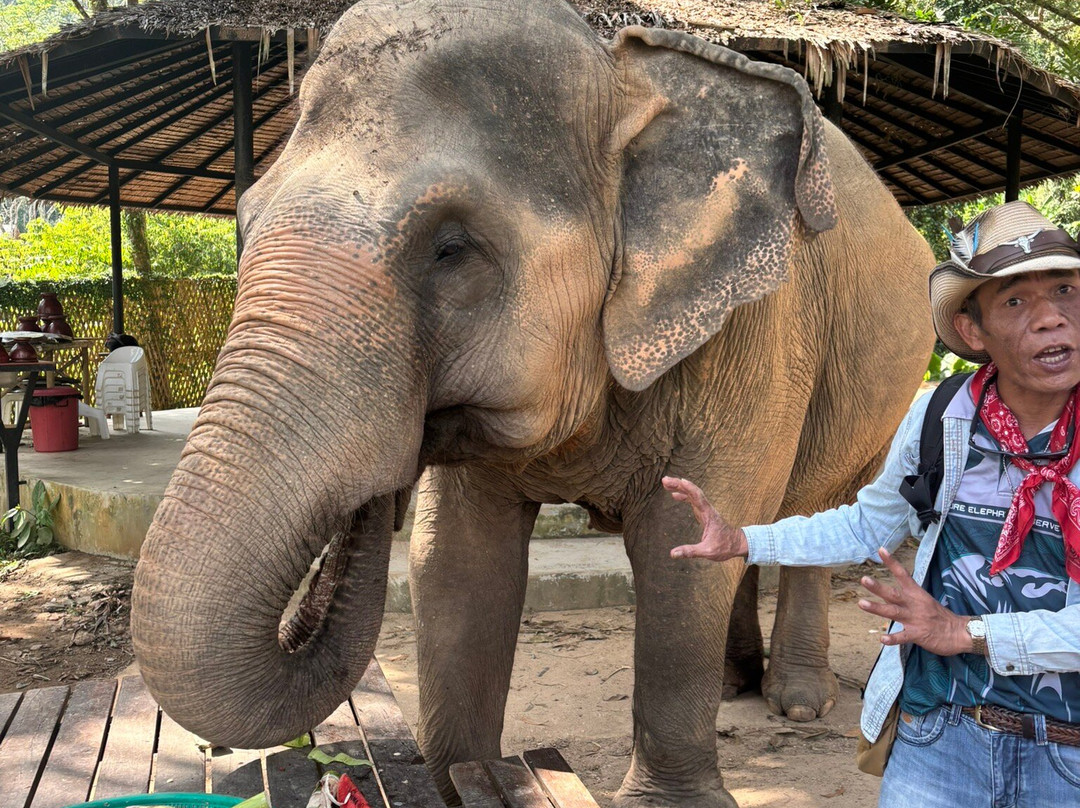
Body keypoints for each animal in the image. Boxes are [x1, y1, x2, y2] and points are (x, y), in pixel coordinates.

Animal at [131, 1, 935, 806]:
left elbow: (683, 546)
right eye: (244, 220)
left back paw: (797, 702)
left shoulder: (755, 329)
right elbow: (456, 558)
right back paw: (738, 684)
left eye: (451, 248)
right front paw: (459, 779)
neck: (619, 74)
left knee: (822, 510)